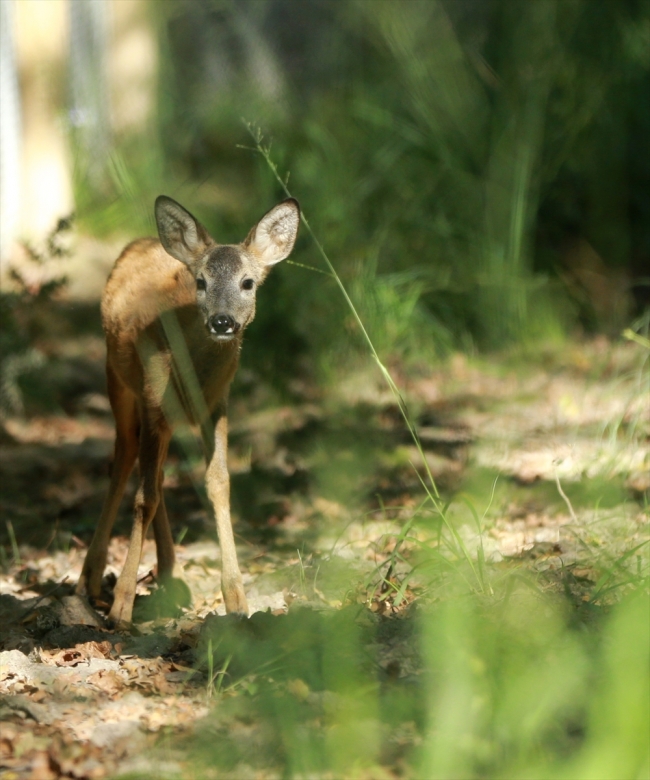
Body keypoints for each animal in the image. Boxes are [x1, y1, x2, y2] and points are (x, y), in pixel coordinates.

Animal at [75, 197, 298, 628]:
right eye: (201, 282)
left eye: (248, 282)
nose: (223, 321)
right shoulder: (152, 398)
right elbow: (144, 498)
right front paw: (121, 608)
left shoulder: (218, 405)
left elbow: (218, 483)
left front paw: (237, 600)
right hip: (119, 381)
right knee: (124, 459)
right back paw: (89, 581)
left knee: (156, 475)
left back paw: (170, 577)